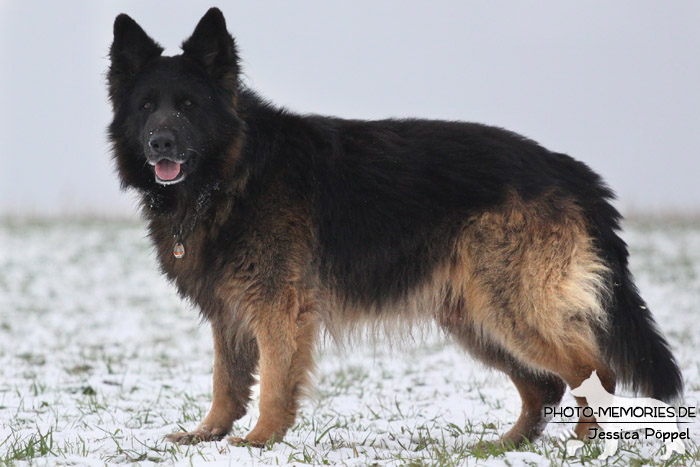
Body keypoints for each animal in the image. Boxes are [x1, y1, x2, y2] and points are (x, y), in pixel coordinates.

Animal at [105, 6, 684, 446]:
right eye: (147, 106)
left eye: (187, 106)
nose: (160, 142)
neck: (234, 170)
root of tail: (566, 167)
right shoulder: (230, 313)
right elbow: (226, 384)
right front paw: (207, 437)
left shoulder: (277, 308)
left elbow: (272, 384)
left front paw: (260, 442)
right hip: (476, 315)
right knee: (546, 386)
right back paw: (506, 446)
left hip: (508, 307)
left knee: (593, 371)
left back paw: (584, 445)